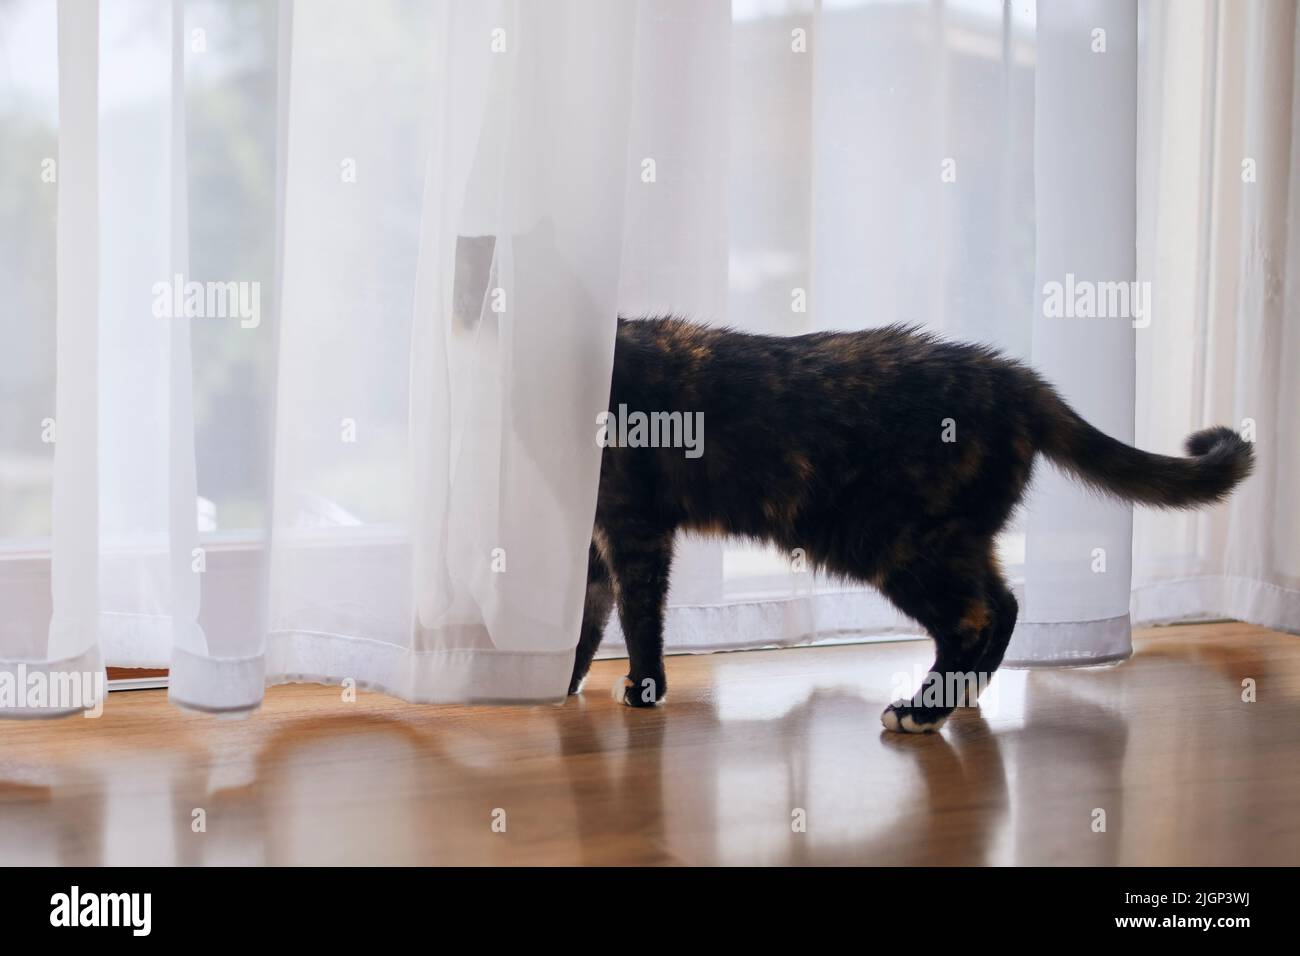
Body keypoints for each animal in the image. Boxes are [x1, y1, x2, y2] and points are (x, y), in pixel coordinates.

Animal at [566, 316, 1248, 733]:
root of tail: (1013, 379)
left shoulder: (633, 526)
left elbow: (639, 614)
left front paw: (643, 687)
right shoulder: (593, 541)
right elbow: (586, 617)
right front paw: (562, 681)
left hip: (892, 542)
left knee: (975, 617)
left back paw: (921, 712)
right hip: (956, 539)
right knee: (1003, 604)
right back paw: (956, 698)